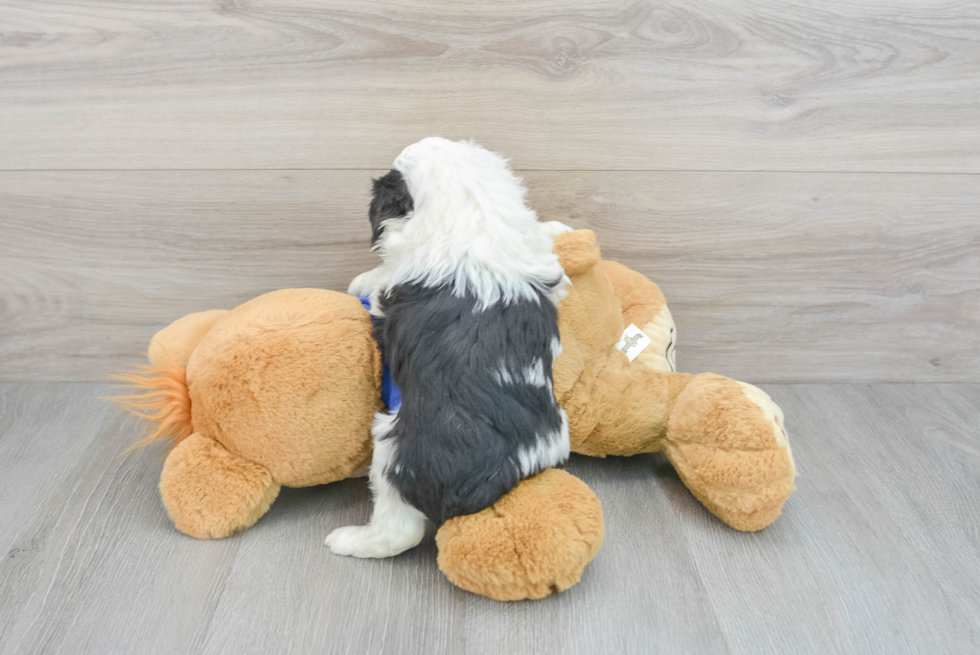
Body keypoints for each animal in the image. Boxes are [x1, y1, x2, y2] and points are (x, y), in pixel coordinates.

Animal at [328, 138, 572, 560]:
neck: (473, 214)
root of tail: (495, 479)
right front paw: (560, 227)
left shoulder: (391, 279)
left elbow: (376, 277)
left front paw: (358, 279)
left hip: (394, 448)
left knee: (400, 530)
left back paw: (347, 541)